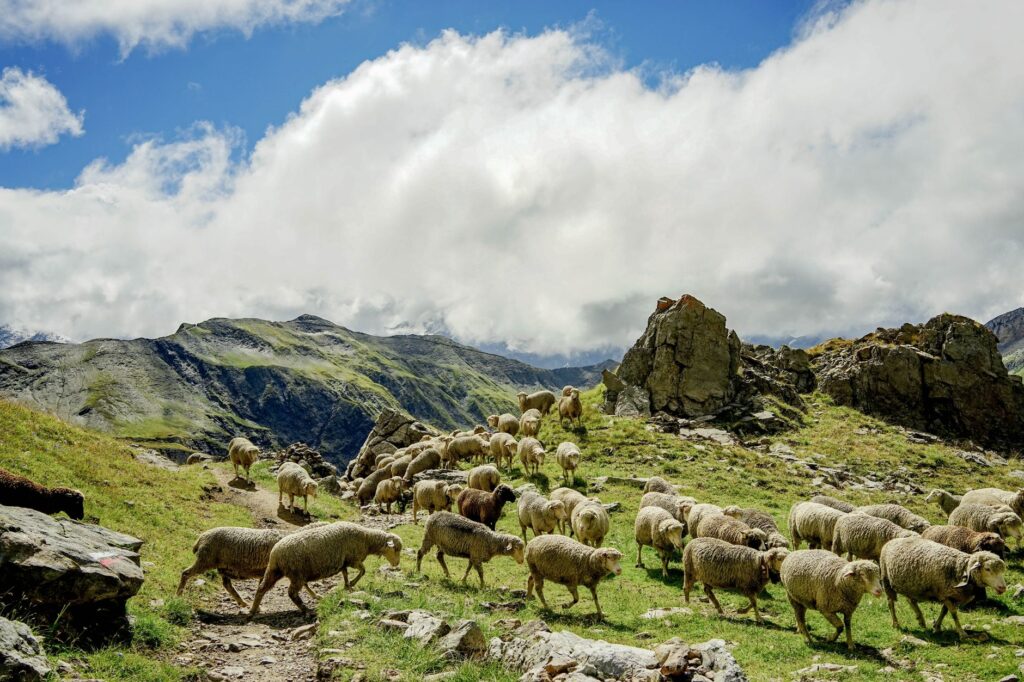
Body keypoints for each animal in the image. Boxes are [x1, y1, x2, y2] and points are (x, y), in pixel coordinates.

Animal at [248, 522, 402, 616]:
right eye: (396, 549)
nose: (396, 564)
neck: (367, 539)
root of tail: (275, 552)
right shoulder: (353, 560)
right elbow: (363, 571)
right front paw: (352, 583)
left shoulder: (344, 562)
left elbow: (345, 574)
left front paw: (347, 586)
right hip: (296, 573)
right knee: (291, 593)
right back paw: (306, 610)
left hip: (276, 571)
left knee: (262, 588)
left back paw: (253, 610)